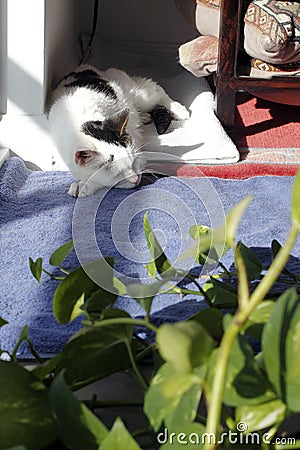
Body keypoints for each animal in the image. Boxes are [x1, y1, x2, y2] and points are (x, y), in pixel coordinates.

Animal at [47, 65, 189, 197]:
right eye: (117, 174)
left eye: (132, 163)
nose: (135, 180)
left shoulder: (139, 150)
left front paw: (83, 185)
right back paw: (144, 116)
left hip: (138, 93)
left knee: (156, 90)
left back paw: (179, 110)